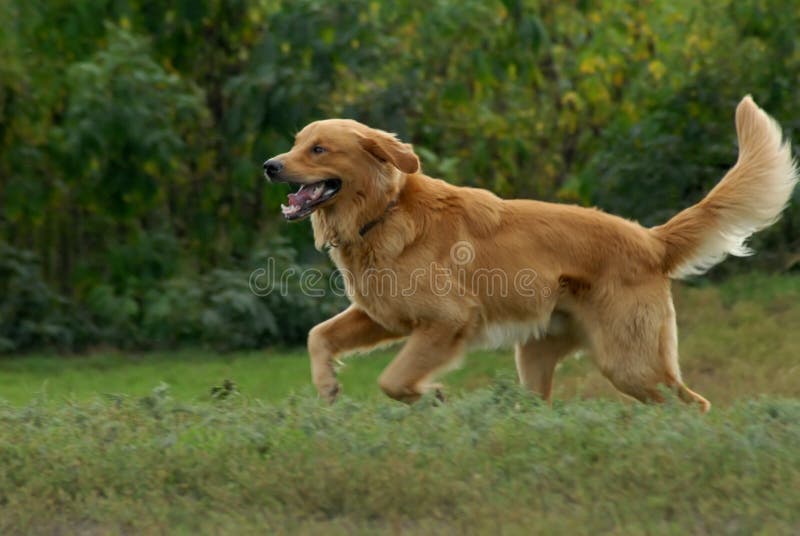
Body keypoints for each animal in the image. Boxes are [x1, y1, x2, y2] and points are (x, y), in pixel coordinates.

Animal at [266, 95, 796, 410]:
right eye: (296, 144)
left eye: (319, 149)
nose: (270, 165)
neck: (383, 212)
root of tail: (650, 239)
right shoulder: (382, 316)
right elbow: (318, 335)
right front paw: (327, 385)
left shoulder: (446, 320)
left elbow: (393, 380)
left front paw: (431, 394)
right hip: (539, 357)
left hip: (629, 362)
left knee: (690, 402)